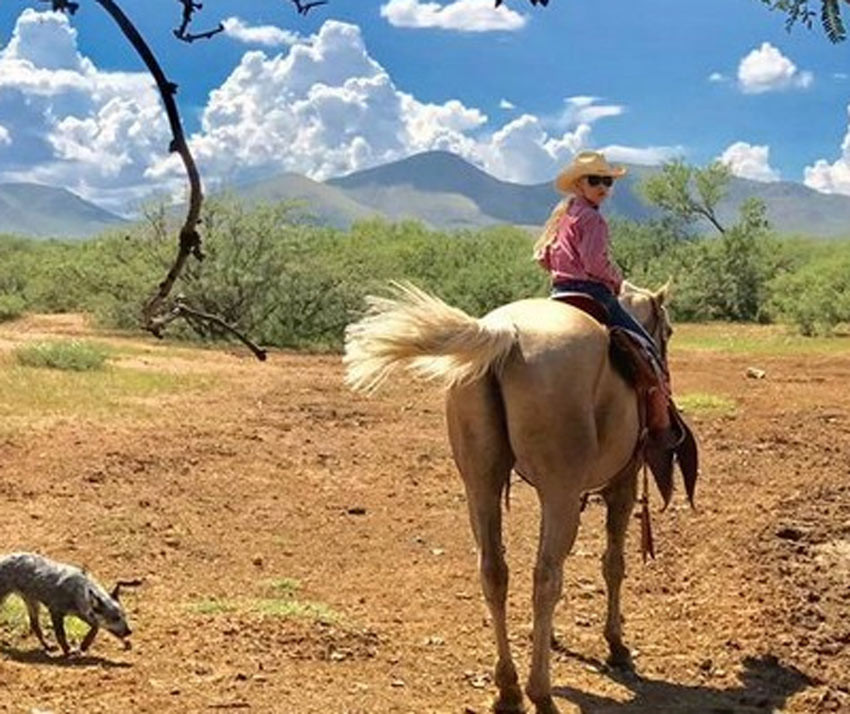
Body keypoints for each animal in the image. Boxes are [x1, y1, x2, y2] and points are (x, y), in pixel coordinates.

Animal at [0, 552, 135, 656]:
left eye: (124, 616)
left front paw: (84, 645)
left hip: (32, 601)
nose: (129, 631)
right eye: (115, 618)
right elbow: (61, 634)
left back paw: (47, 646)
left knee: (35, 626)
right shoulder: (55, 611)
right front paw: (68, 651)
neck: (78, 590)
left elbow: (95, 627)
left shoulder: (82, 613)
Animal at [344, 280, 676, 712]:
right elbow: (613, 564)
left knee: (494, 571)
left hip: (482, 484)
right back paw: (540, 691)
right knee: (546, 576)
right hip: (559, 492)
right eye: (668, 331)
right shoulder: (622, 485)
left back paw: (508, 689)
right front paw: (616, 645)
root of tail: (505, 334)